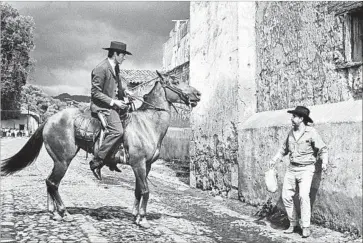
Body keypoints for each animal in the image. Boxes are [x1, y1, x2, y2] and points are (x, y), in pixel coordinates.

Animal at [0, 70, 202, 228]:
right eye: (175, 81)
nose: (198, 94)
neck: (147, 123)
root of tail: (49, 120)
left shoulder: (147, 166)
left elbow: (139, 190)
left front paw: (136, 216)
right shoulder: (138, 164)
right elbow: (145, 190)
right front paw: (143, 219)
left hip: (58, 161)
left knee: (49, 182)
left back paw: (54, 213)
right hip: (63, 160)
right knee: (53, 183)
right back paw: (64, 213)